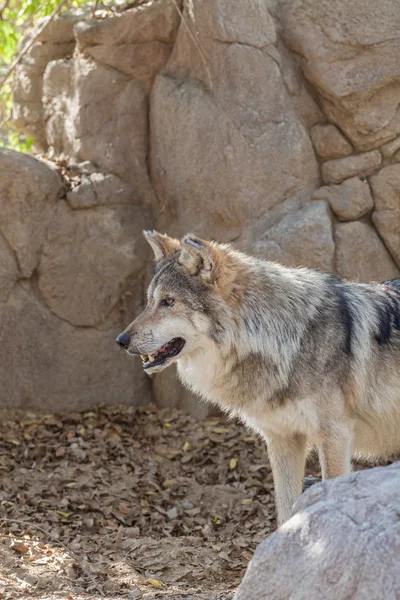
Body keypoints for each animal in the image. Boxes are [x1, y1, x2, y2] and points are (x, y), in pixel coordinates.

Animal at [115, 230, 400, 524]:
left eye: (169, 301)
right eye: (150, 301)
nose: (121, 340)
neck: (281, 339)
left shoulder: (334, 437)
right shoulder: (283, 440)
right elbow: (285, 511)